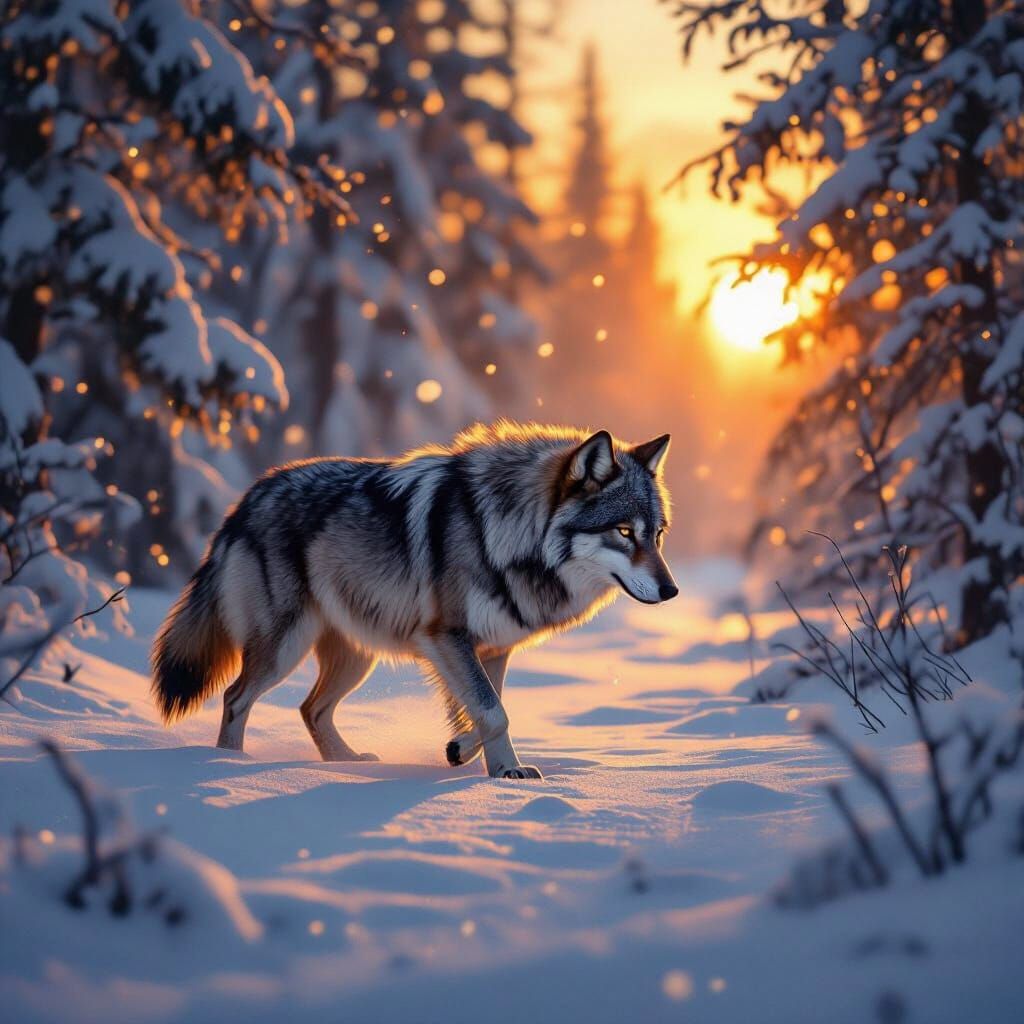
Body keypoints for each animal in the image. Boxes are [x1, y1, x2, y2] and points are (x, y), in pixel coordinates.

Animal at [152, 421, 677, 779]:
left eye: (657, 535)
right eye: (624, 532)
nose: (671, 591)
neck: (507, 533)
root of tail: (246, 498)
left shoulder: (492, 648)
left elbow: (489, 710)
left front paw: (476, 759)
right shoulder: (445, 637)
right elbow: (494, 711)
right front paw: (499, 770)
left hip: (356, 658)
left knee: (310, 709)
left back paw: (345, 764)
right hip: (285, 649)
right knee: (235, 697)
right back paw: (226, 764)